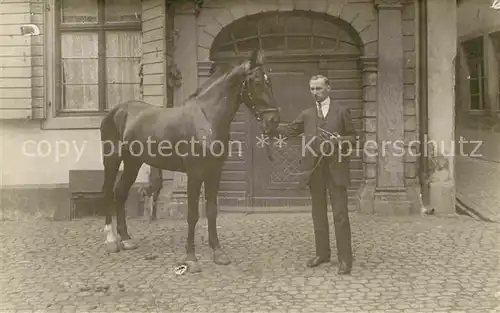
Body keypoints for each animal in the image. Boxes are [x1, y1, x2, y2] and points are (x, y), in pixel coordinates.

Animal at [99, 50, 280, 272]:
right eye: (256, 81)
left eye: (269, 80)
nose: (273, 121)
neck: (206, 117)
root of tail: (117, 111)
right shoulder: (194, 174)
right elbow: (192, 214)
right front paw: (191, 258)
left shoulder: (214, 172)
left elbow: (212, 211)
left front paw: (218, 253)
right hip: (112, 159)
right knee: (108, 191)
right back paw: (111, 240)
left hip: (133, 162)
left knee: (120, 192)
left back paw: (125, 239)